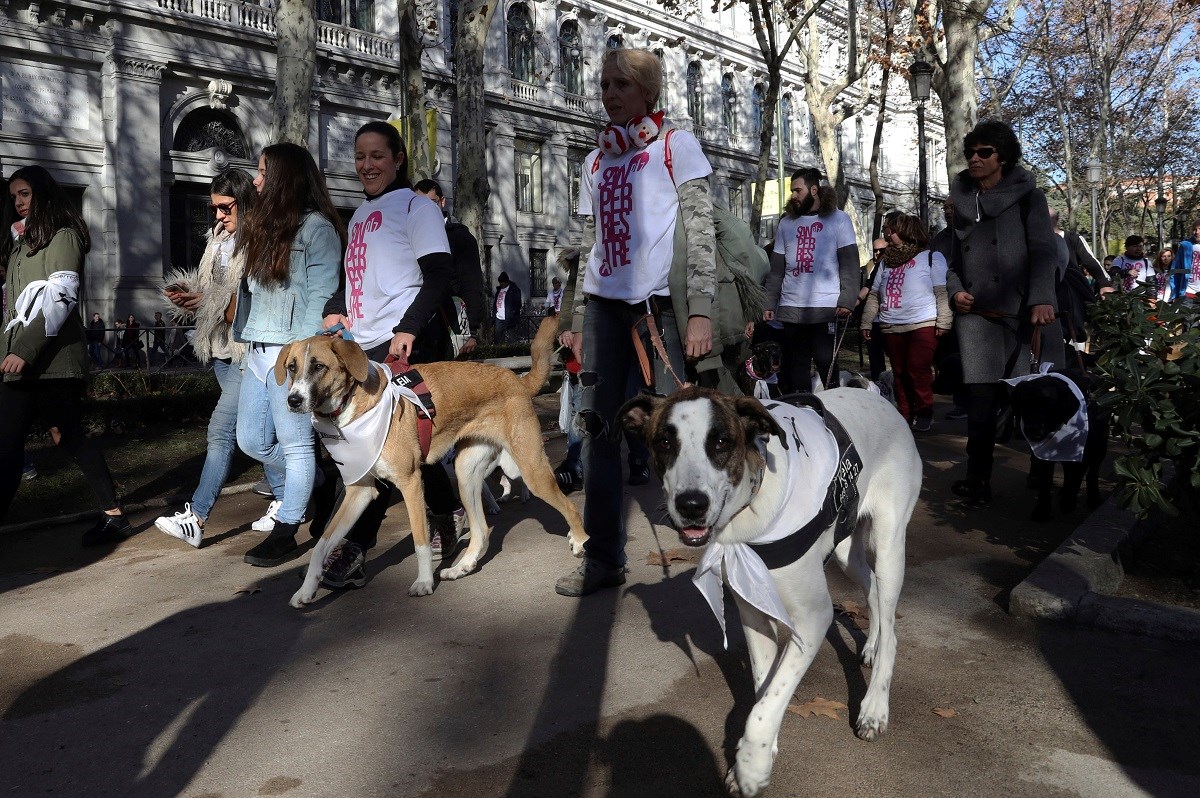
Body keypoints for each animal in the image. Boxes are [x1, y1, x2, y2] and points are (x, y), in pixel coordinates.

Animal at [276, 314, 585, 607]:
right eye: (292, 367)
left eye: (319, 366)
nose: (293, 400)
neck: (355, 405)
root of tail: (517, 380)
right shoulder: (360, 491)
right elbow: (321, 545)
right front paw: (306, 590)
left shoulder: (411, 482)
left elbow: (420, 541)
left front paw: (424, 582)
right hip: (466, 474)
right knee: (482, 531)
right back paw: (463, 566)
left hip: (532, 470)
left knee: (570, 506)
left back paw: (580, 541)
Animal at [619, 386, 916, 796]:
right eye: (664, 441)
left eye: (721, 442)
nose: (691, 505)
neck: (749, 513)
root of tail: (875, 394)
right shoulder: (753, 613)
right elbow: (765, 689)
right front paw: (758, 753)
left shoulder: (814, 617)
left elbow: (769, 701)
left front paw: (752, 765)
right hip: (844, 551)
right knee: (870, 589)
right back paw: (870, 646)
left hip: (889, 544)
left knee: (891, 624)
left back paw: (874, 707)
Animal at [1003, 369, 1104, 520]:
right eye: (1025, 403)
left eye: (1049, 405)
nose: (1033, 429)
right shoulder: (1045, 455)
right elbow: (1045, 483)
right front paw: (1042, 510)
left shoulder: (1082, 454)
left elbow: (1076, 479)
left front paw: (1068, 503)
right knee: (1068, 470)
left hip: (1099, 448)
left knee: (1092, 474)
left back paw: (1093, 499)